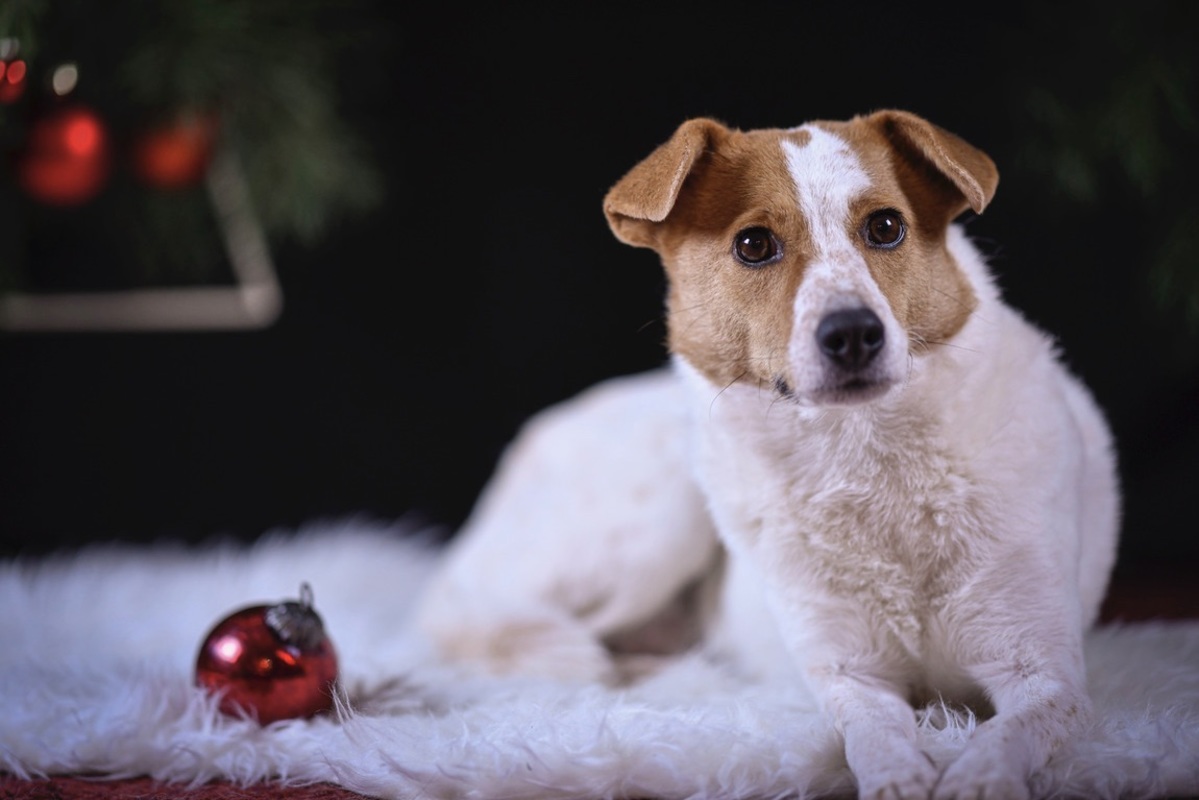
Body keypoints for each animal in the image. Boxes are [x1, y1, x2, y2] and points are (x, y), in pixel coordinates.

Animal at [414, 107, 1122, 800]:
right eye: (753, 245)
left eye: (886, 226)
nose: (853, 333)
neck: (866, 455)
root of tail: (531, 437)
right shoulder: (846, 673)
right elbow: (874, 737)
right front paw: (900, 778)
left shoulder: (1042, 668)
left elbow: (1010, 733)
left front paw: (976, 778)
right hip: (659, 521)